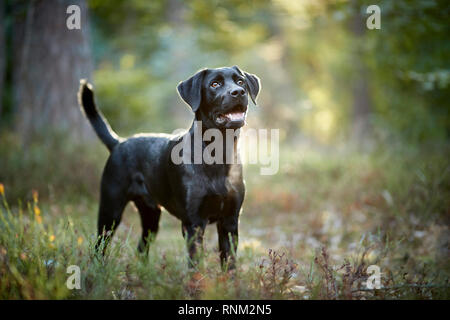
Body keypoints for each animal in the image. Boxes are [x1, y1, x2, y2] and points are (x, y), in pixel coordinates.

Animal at [78, 66, 260, 268]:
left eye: (240, 81)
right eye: (215, 84)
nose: (238, 92)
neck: (218, 154)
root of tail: (119, 142)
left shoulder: (230, 220)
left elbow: (229, 263)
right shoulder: (193, 223)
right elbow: (196, 263)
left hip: (151, 216)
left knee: (142, 248)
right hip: (110, 210)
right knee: (100, 245)